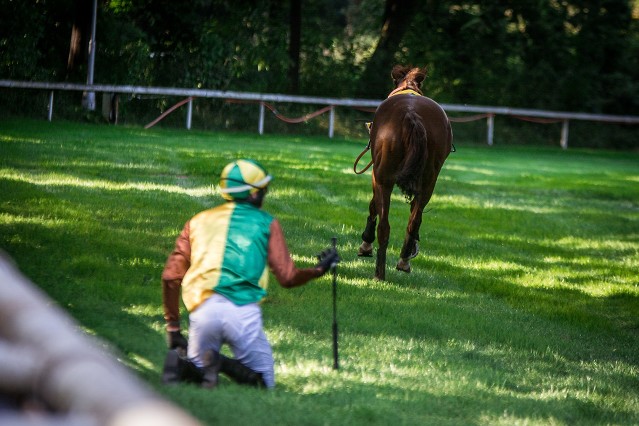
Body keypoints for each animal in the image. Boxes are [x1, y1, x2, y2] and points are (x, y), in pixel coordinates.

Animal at [358, 65, 452, 282]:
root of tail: (411, 114)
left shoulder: (377, 175)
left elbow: (373, 206)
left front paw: (366, 244)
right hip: (428, 183)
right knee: (414, 221)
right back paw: (404, 260)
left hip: (384, 178)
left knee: (384, 226)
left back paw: (380, 272)